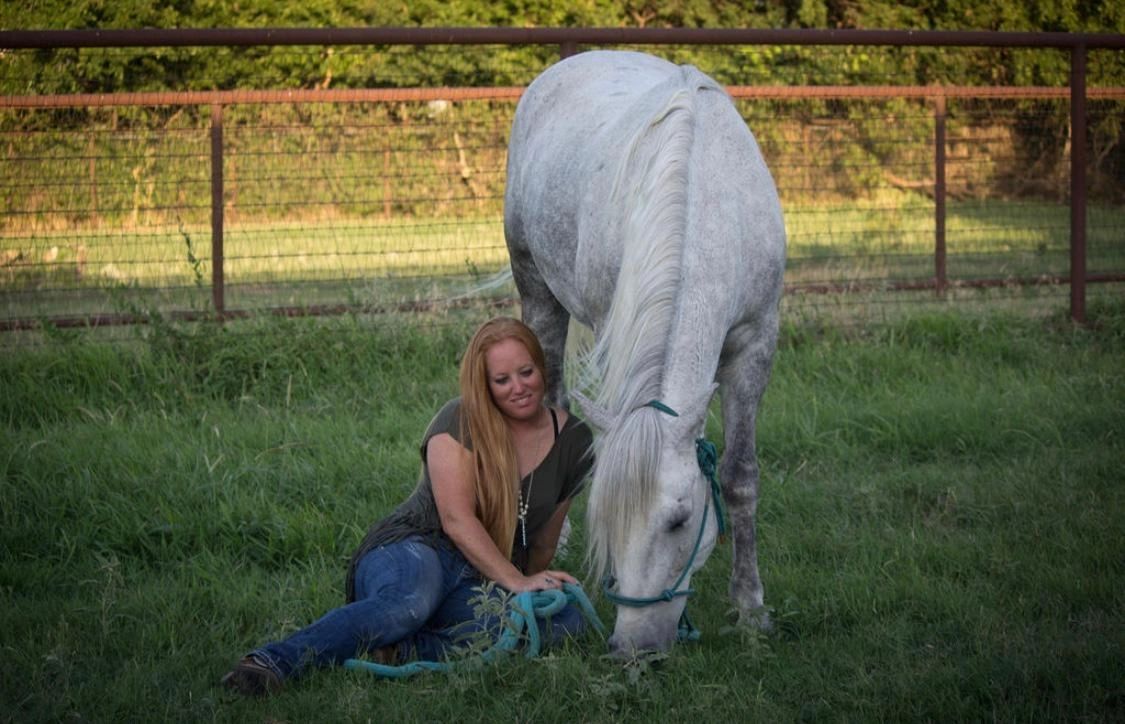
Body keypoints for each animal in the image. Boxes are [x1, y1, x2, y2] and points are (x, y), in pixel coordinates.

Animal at [504, 50, 786, 655]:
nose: (632, 647)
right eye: (609, 524)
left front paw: (750, 607)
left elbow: (740, 476)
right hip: (537, 292)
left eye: (679, 522)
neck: (704, 207)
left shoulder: (755, 344)